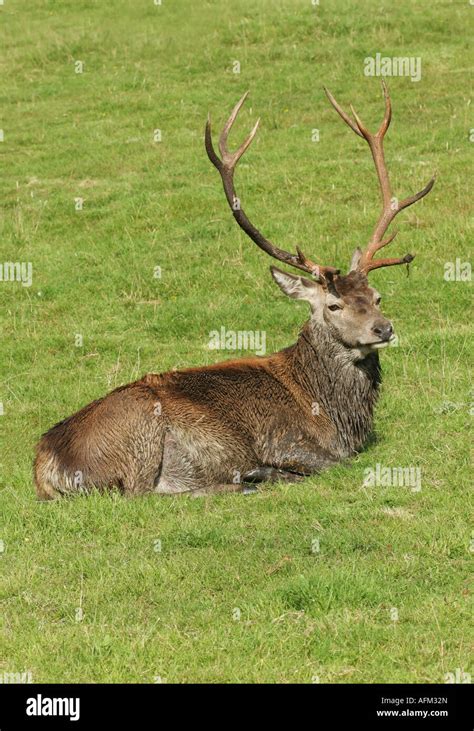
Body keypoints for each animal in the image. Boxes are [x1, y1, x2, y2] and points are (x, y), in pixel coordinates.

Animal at [32, 83, 434, 500]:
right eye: (334, 305)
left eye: (377, 296)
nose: (383, 328)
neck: (335, 416)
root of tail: (45, 466)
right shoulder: (285, 440)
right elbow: (336, 463)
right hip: (139, 430)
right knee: (144, 493)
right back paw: (253, 479)